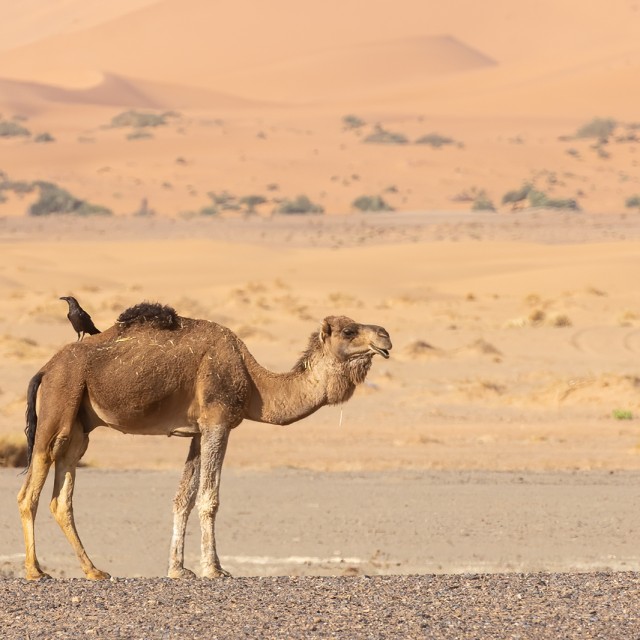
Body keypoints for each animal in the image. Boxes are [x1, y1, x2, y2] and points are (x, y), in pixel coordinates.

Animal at [17, 302, 392, 580]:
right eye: (349, 331)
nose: (386, 335)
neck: (254, 383)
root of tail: (45, 368)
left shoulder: (197, 431)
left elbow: (183, 498)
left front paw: (178, 570)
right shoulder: (218, 422)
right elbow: (209, 499)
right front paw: (215, 569)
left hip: (79, 426)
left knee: (62, 496)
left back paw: (94, 571)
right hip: (59, 403)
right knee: (29, 491)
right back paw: (36, 572)